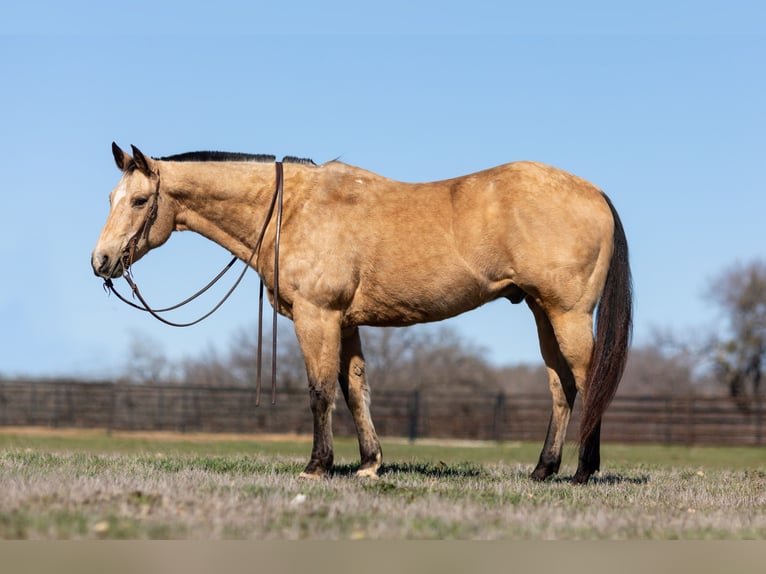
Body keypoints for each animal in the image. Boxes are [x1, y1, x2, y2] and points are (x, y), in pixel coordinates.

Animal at [93, 144, 632, 486]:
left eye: (139, 200)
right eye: (111, 198)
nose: (101, 261)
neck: (294, 209)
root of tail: (596, 193)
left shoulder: (317, 317)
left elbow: (320, 392)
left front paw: (318, 466)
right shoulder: (347, 323)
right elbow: (356, 391)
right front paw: (369, 464)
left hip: (567, 314)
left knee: (590, 380)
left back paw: (583, 471)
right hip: (544, 313)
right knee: (561, 387)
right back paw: (543, 470)